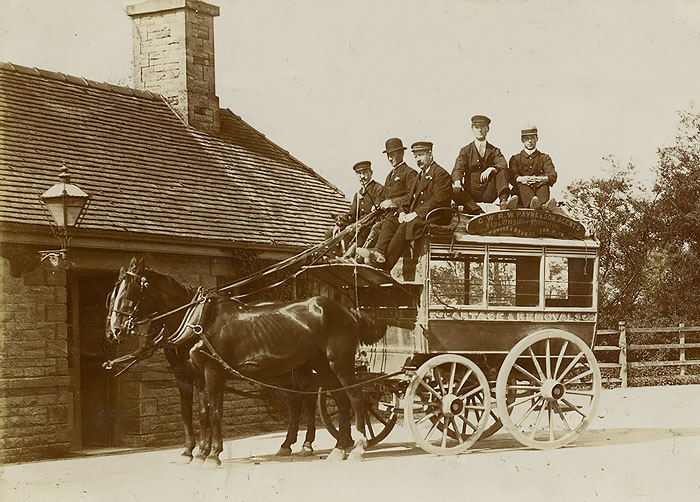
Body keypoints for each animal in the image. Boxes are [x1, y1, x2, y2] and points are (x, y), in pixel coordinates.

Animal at [105, 258, 318, 462]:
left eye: (129, 293)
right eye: (113, 295)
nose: (114, 331)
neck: (196, 320)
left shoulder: (213, 371)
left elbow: (215, 412)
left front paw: (212, 453)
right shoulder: (188, 374)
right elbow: (196, 412)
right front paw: (194, 452)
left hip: (305, 369)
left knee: (310, 399)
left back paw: (307, 444)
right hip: (288, 371)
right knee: (296, 401)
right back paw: (287, 444)